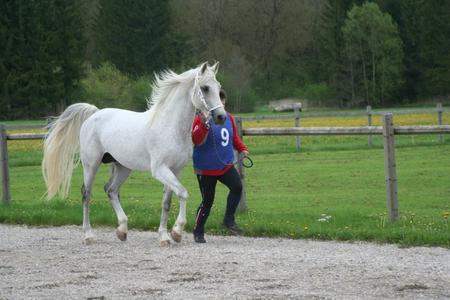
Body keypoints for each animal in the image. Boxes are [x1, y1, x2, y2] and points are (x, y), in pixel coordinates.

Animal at [41, 61, 225, 246]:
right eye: (205, 88)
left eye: (218, 87)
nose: (221, 117)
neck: (170, 127)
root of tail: (94, 114)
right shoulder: (160, 169)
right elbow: (183, 193)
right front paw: (176, 232)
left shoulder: (175, 170)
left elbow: (167, 202)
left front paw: (166, 236)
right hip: (91, 164)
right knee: (87, 194)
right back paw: (88, 235)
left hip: (123, 167)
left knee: (111, 190)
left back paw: (122, 230)